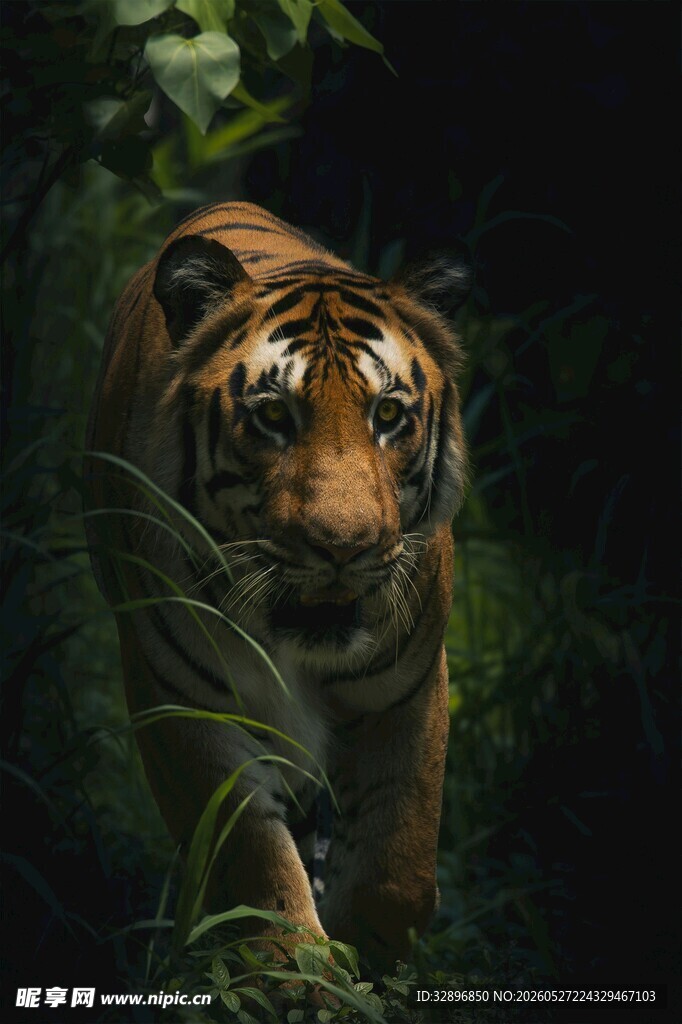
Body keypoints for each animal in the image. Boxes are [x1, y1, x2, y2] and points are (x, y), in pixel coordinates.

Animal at [85, 201, 470, 969]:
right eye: (272, 416)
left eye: (388, 416)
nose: (344, 547)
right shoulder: (184, 701)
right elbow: (253, 863)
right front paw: (298, 972)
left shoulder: (407, 689)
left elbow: (399, 870)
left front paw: (366, 961)